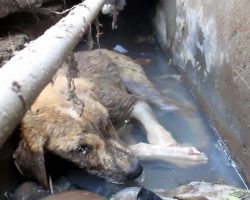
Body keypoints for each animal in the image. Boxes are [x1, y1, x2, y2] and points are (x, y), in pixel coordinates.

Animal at [12, 48, 207, 188]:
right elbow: (138, 148)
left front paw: (174, 147)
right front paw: (178, 154)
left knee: (184, 108)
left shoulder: (130, 103)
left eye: (107, 124)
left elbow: (152, 132)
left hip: (140, 86)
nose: (136, 171)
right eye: (82, 149)